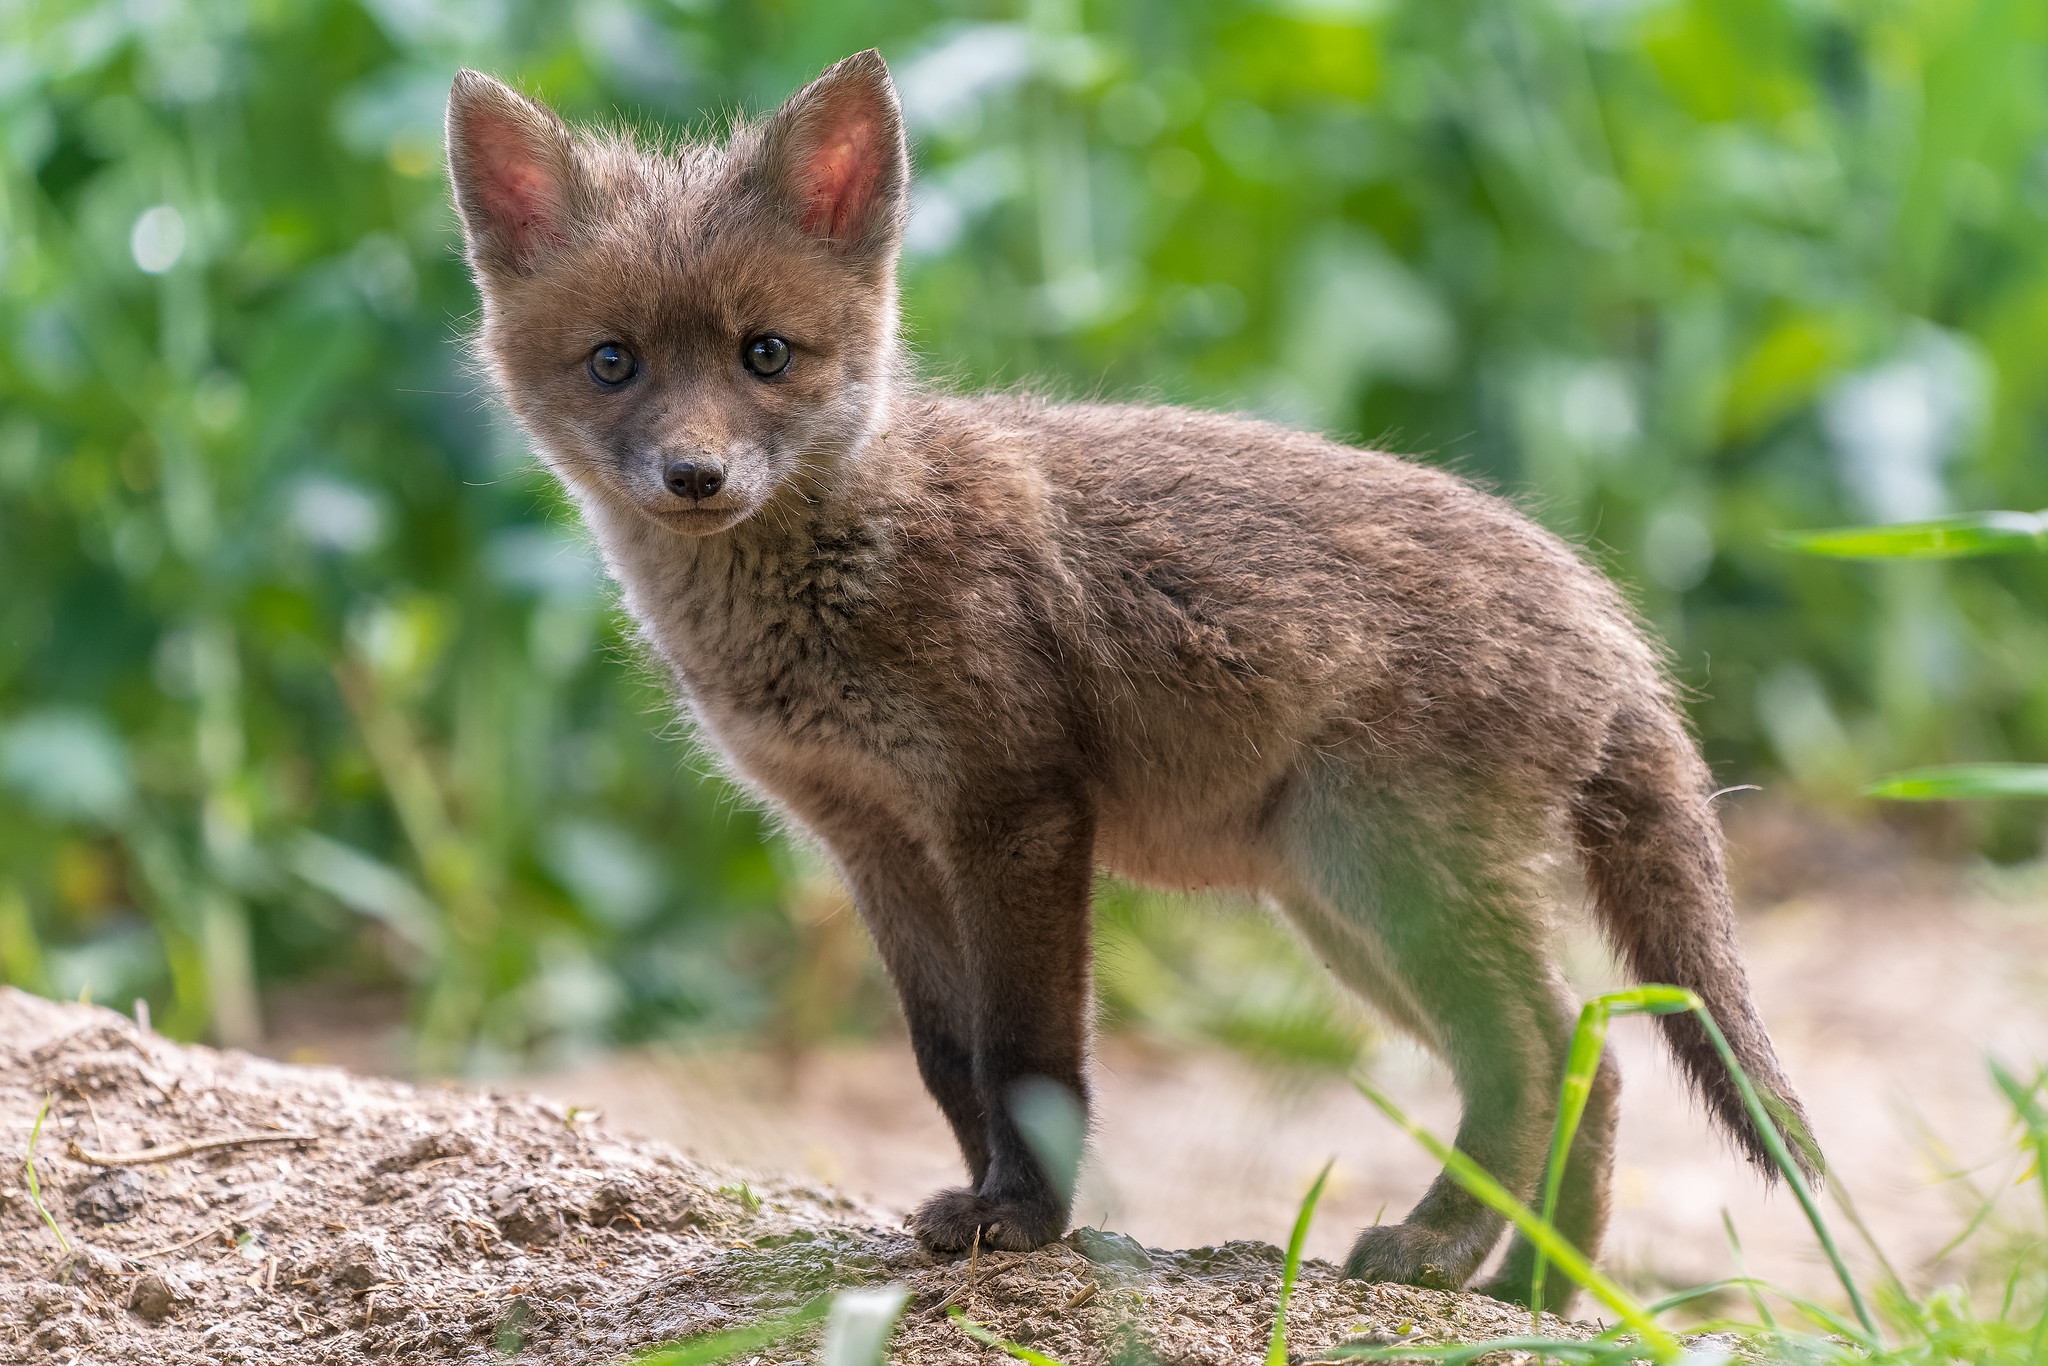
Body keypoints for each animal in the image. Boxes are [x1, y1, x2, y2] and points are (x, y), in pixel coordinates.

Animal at [440, 50, 1818, 1302]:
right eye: (613, 362)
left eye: (764, 355)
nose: (695, 477)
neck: (843, 571)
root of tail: (1609, 618)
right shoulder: (870, 838)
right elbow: (947, 1057)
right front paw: (989, 1206)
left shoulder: (1017, 809)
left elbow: (1027, 1056)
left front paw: (1023, 1223)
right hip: (1340, 909)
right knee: (1589, 1053)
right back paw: (1535, 1291)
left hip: (1384, 880)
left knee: (1534, 1051)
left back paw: (1437, 1251)